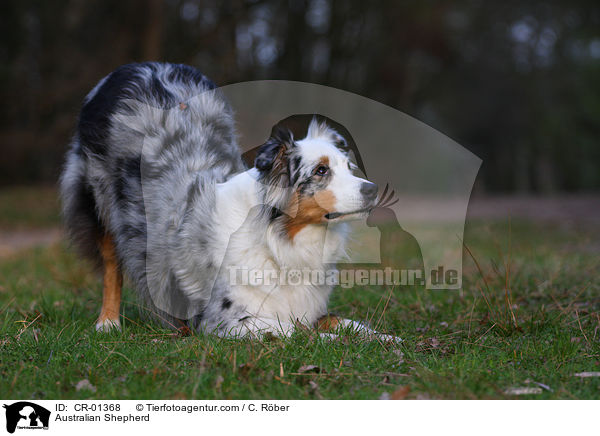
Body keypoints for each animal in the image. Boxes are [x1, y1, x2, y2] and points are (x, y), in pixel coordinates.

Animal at [59, 62, 398, 340]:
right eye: (321, 170)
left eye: (348, 167)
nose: (373, 190)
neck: (278, 240)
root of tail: (136, 66)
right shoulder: (222, 322)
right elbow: (294, 331)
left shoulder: (307, 306)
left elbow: (347, 323)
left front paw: (386, 339)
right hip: (98, 200)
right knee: (111, 263)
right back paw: (108, 322)